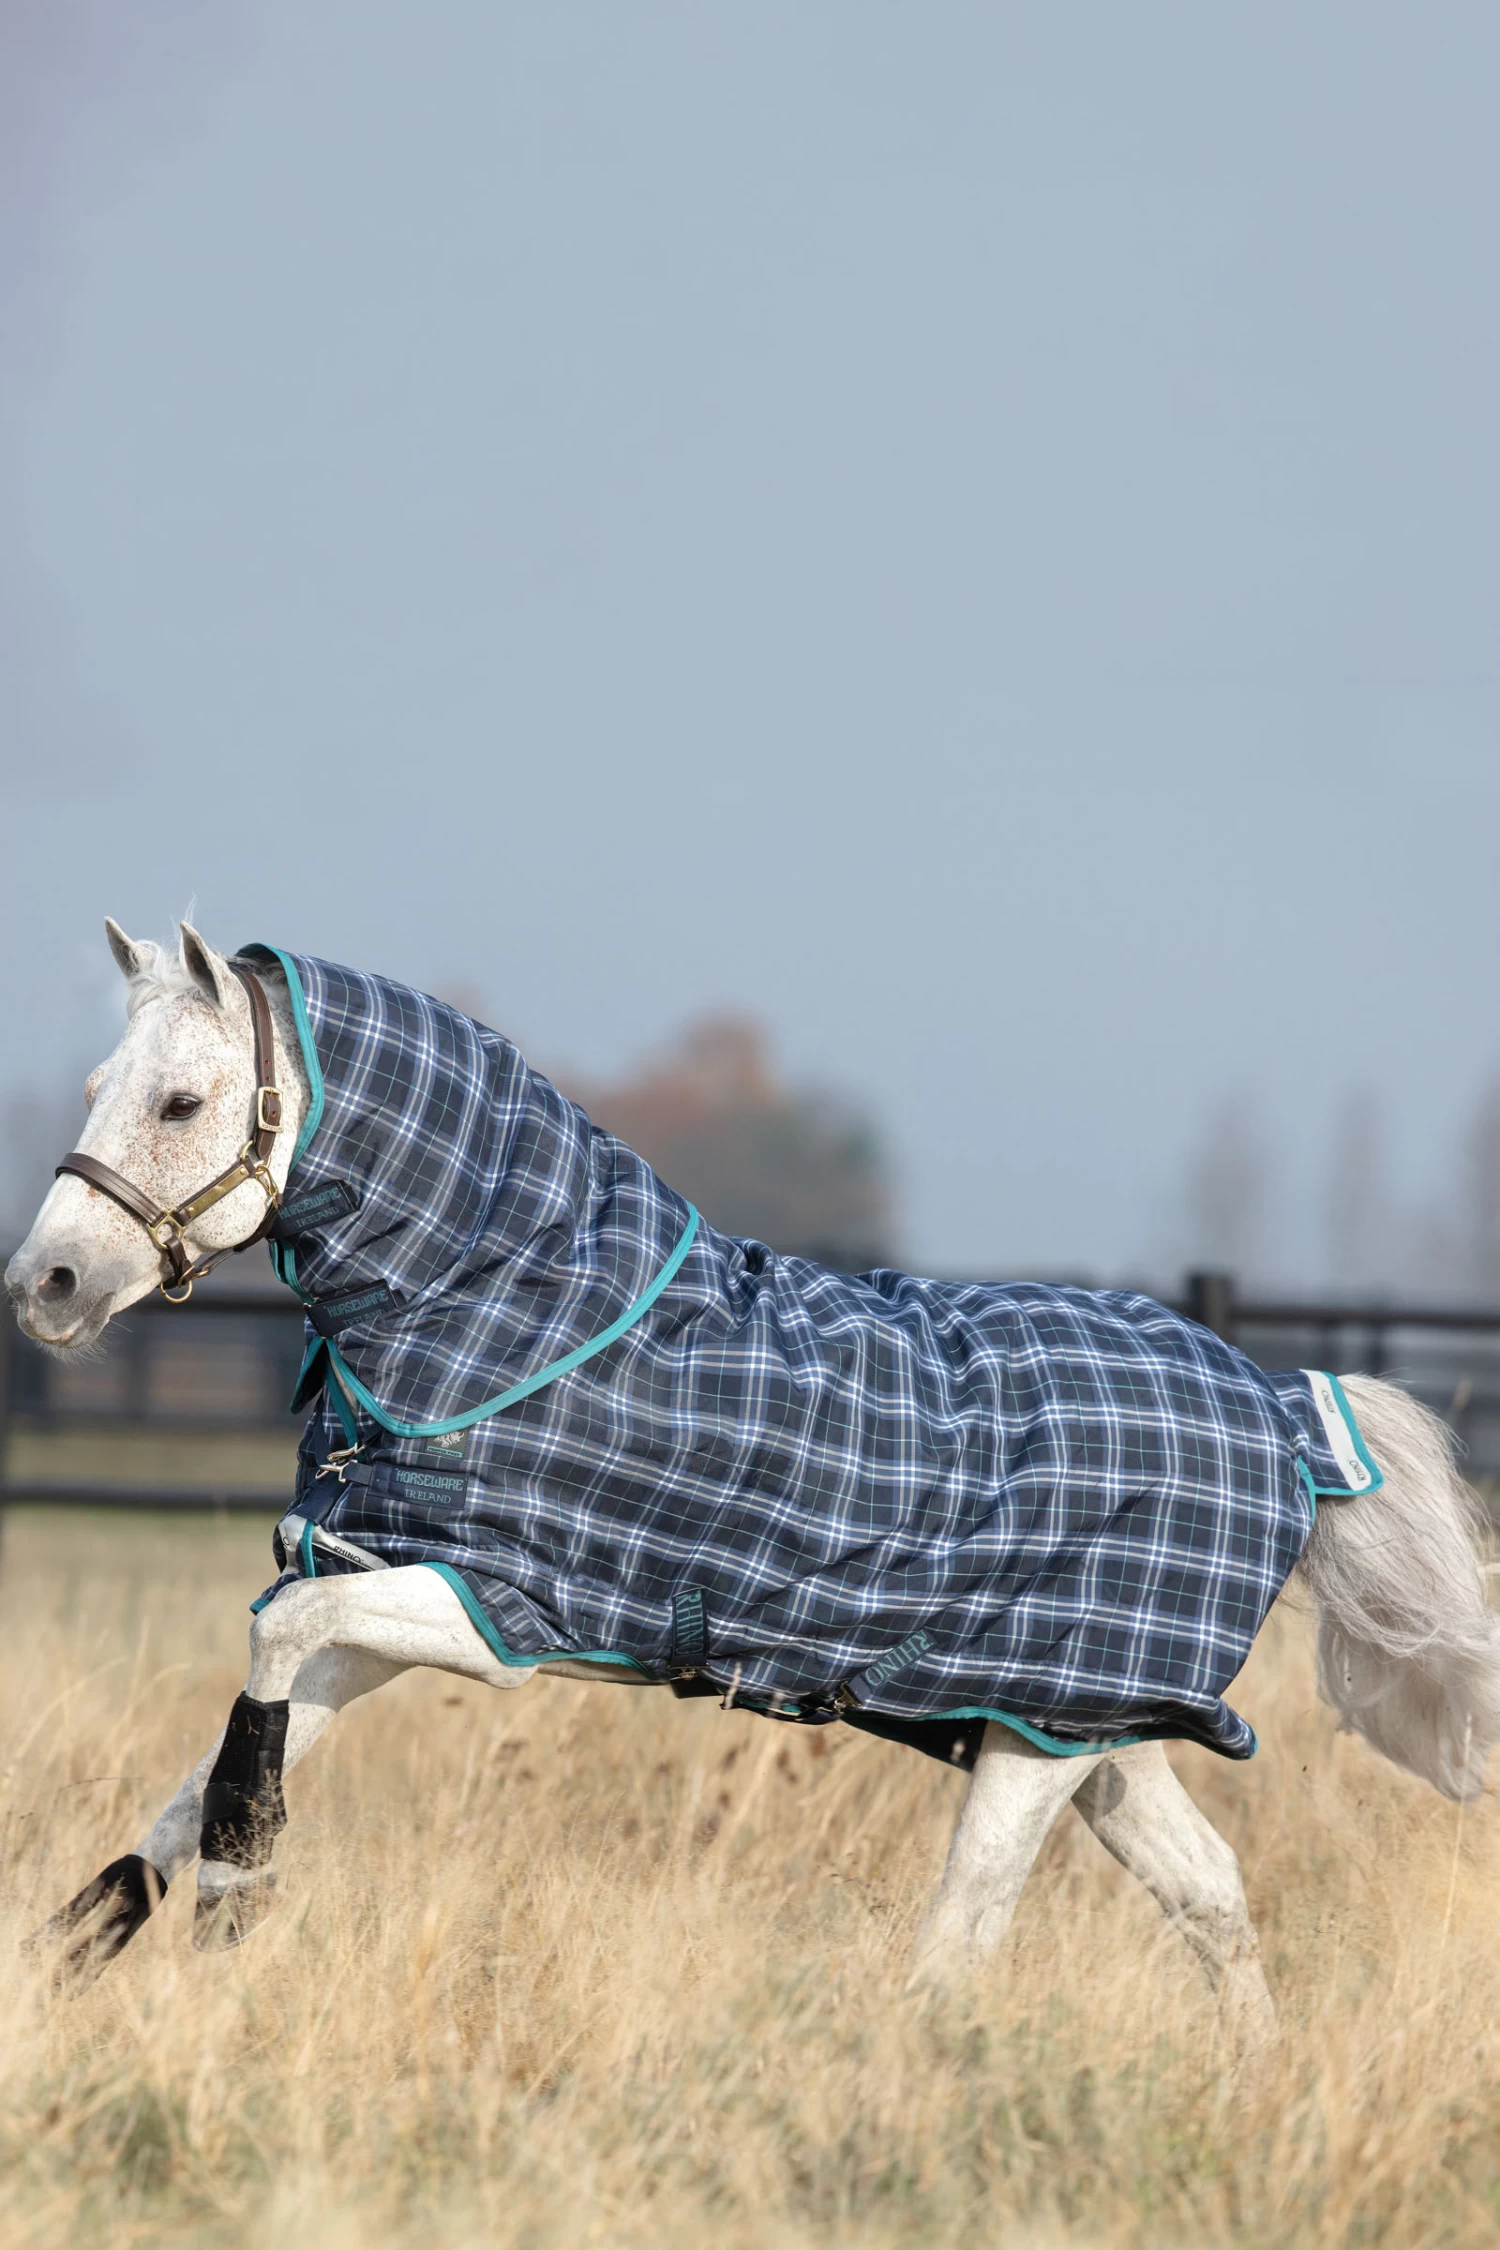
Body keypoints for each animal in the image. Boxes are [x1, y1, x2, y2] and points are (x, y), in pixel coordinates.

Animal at [7, 920, 1499, 2054]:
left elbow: (264, 1671)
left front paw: (241, 1896)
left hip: (1043, 1738)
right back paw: (1252, 2078)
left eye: (181, 1102)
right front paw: (71, 1969)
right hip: (1090, 1729)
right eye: (95, 1086)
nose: (46, 1287)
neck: (520, 1309)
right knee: (1210, 1897)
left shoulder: (494, 1611)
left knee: (965, 1938)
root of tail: (1283, 1407)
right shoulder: (382, 1593)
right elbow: (196, 1774)